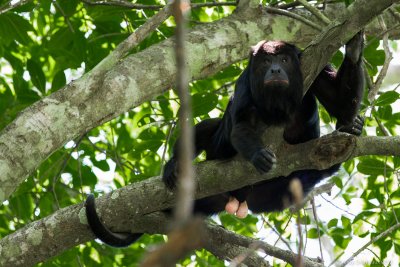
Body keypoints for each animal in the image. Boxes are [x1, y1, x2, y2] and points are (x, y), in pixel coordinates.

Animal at [85, 32, 366, 248]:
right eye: (266, 61)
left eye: (284, 60)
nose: (275, 69)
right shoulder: (245, 82)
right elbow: (239, 124)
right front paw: (258, 155)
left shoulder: (313, 67)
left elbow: (340, 103)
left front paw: (353, 49)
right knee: (207, 128)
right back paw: (175, 165)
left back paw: (351, 128)